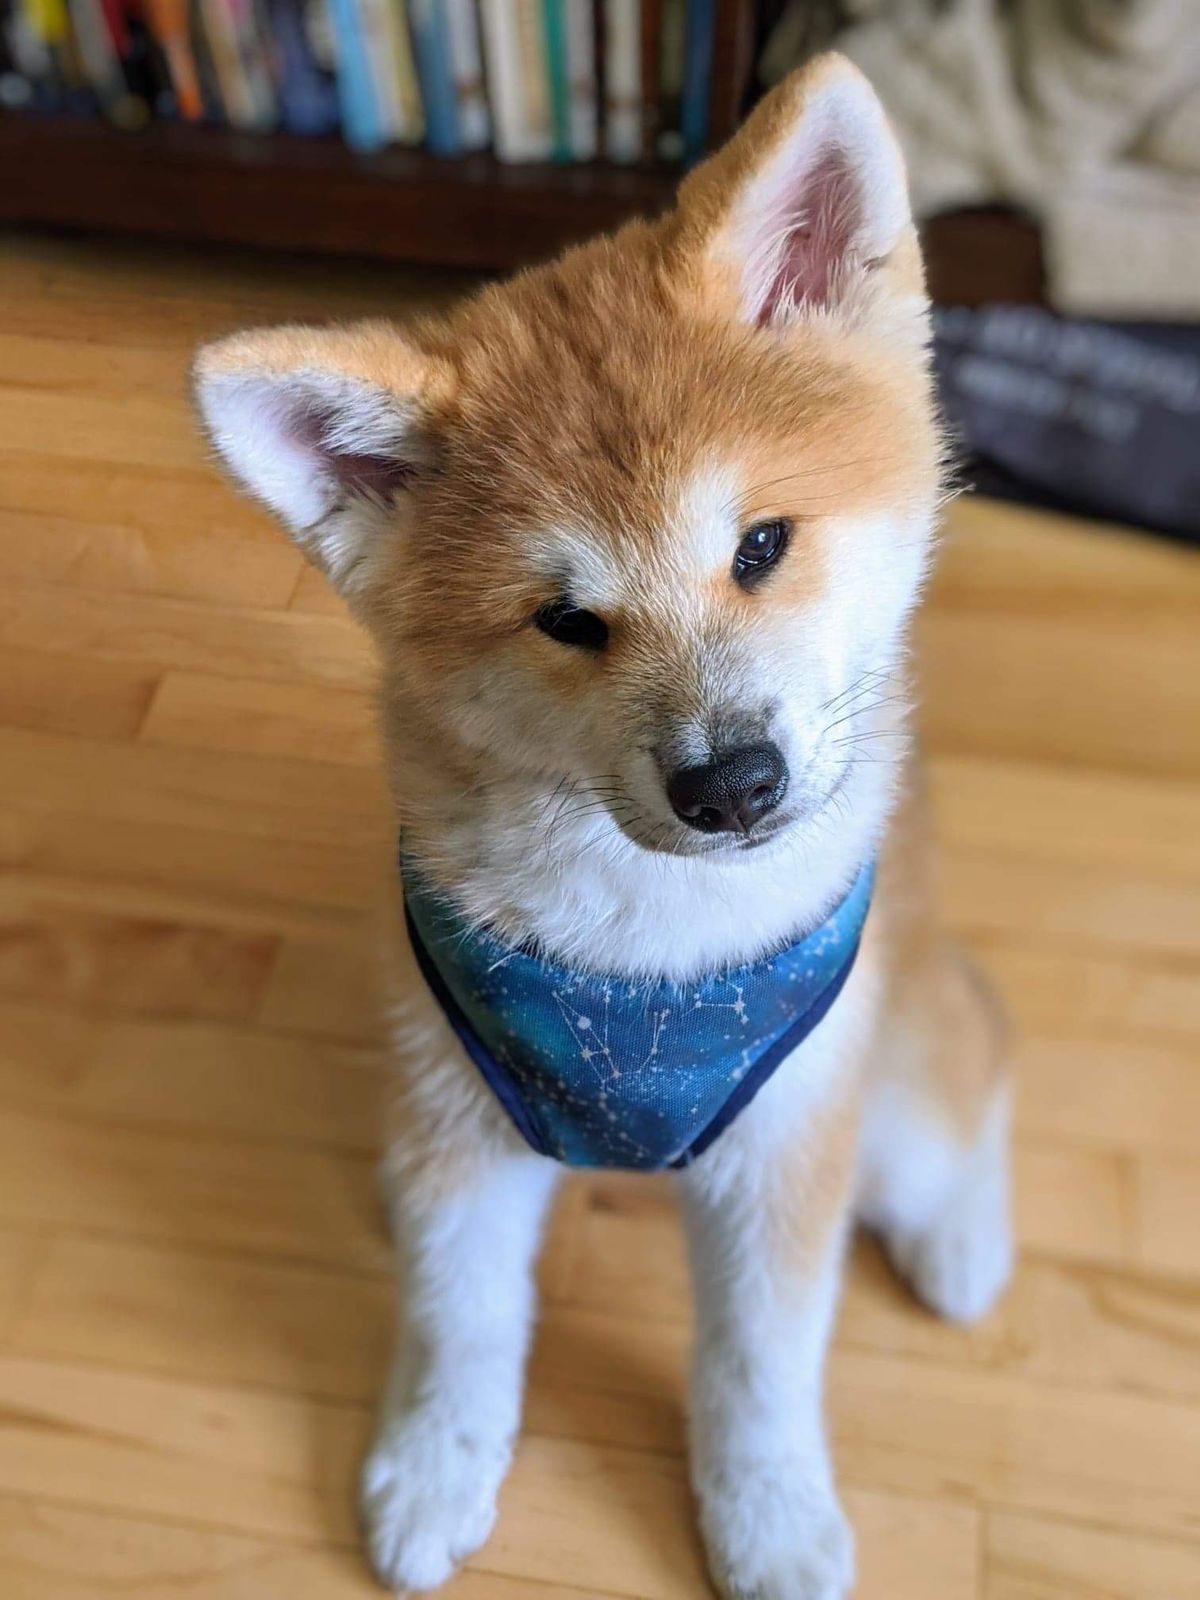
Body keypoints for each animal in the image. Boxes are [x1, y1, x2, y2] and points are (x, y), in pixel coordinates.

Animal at [192, 53, 1012, 1600]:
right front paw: (434, 1464)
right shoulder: (461, 1112)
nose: (733, 783)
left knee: (971, 1088)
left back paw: (958, 1239)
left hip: (895, 1086)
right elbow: (456, 1320)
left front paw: (769, 1516)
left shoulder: (786, 1147)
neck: (644, 984)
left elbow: (760, 1366)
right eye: (567, 621)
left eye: (762, 545)